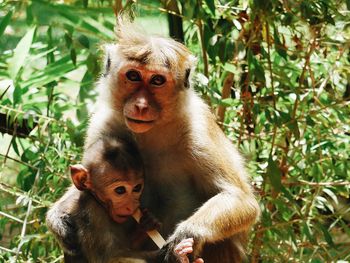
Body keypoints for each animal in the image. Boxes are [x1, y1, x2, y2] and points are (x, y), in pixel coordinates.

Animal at [47, 133, 200, 262]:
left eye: (137, 188)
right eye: (120, 190)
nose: (132, 205)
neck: (97, 201)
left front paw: (148, 222)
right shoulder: (92, 213)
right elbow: (111, 258)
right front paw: (175, 256)